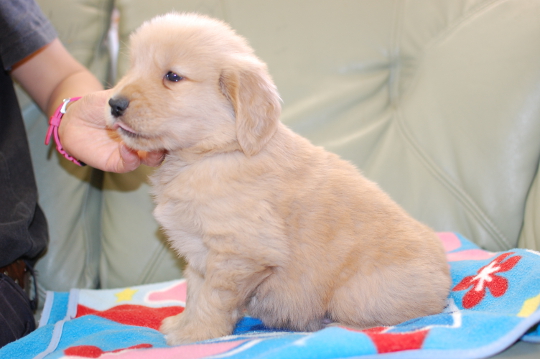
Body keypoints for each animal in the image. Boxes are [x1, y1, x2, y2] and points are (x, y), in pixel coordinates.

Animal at [106, 13, 452, 346]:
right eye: (133, 67)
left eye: (173, 77)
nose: (113, 103)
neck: (212, 153)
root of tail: (445, 282)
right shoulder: (199, 253)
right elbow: (194, 291)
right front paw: (182, 322)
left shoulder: (239, 253)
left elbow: (212, 299)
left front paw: (196, 334)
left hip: (356, 295)